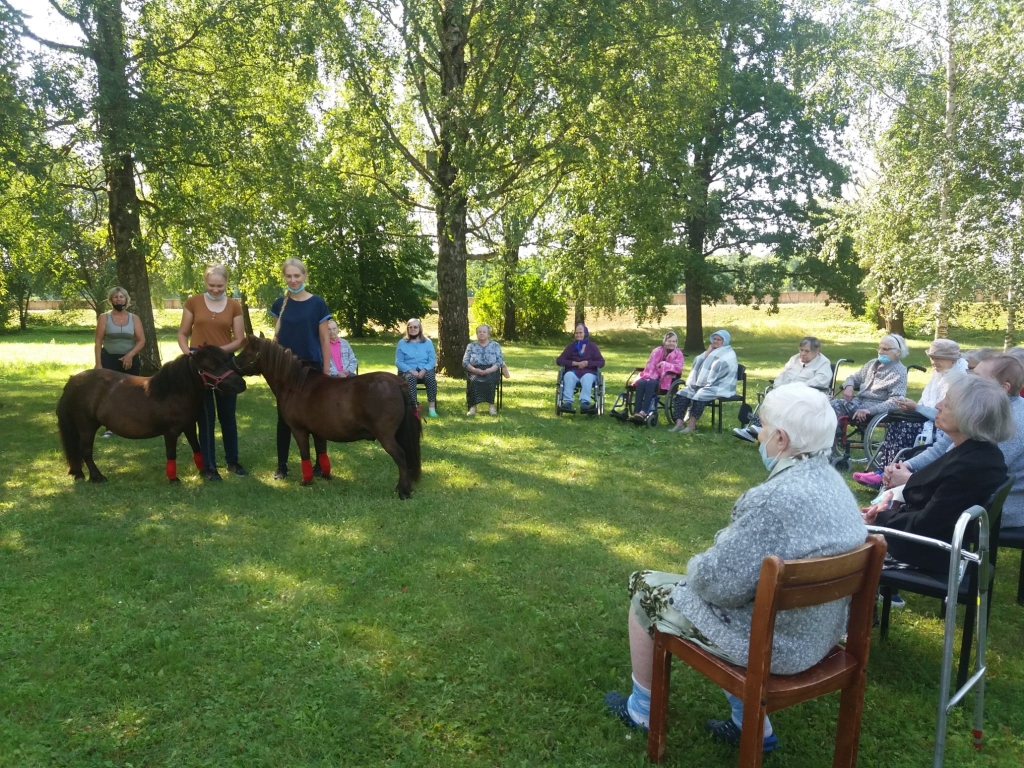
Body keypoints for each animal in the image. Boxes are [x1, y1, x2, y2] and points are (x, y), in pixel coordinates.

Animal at [57, 348, 245, 483]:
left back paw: (80, 474)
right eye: (209, 367)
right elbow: (171, 453)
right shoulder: (171, 432)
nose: (241, 384)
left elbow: (197, 448)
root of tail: (72, 381)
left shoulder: (190, 427)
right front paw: (173, 479)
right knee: (85, 450)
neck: (173, 391)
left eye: (224, 362)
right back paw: (97, 477)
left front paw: (204, 471)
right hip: (86, 426)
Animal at [235, 335, 419, 499]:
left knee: (400, 456)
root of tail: (397, 383)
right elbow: (321, 451)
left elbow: (305, 454)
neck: (295, 385)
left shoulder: (298, 430)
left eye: (245, 353)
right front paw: (324, 475)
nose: (232, 364)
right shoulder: (318, 431)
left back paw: (403, 491)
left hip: (386, 436)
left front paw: (307, 480)